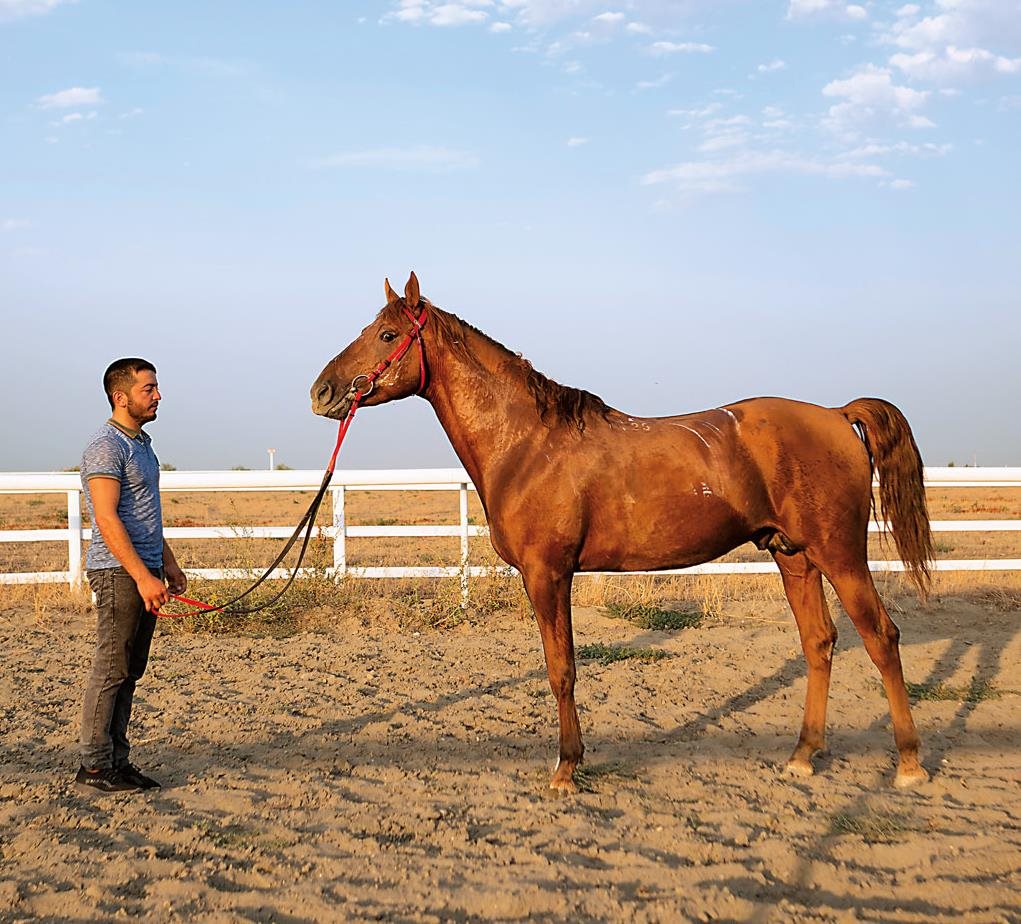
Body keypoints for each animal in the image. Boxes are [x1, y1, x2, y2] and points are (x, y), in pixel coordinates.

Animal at [308, 269, 935, 788]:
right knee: (819, 642)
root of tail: (835, 415)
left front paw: (566, 767)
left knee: (881, 637)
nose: (322, 392)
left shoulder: (548, 574)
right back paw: (804, 755)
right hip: (793, 556)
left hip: (840, 554)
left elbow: (561, 669)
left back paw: (909, 764)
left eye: (388, 334)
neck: (527, 444)